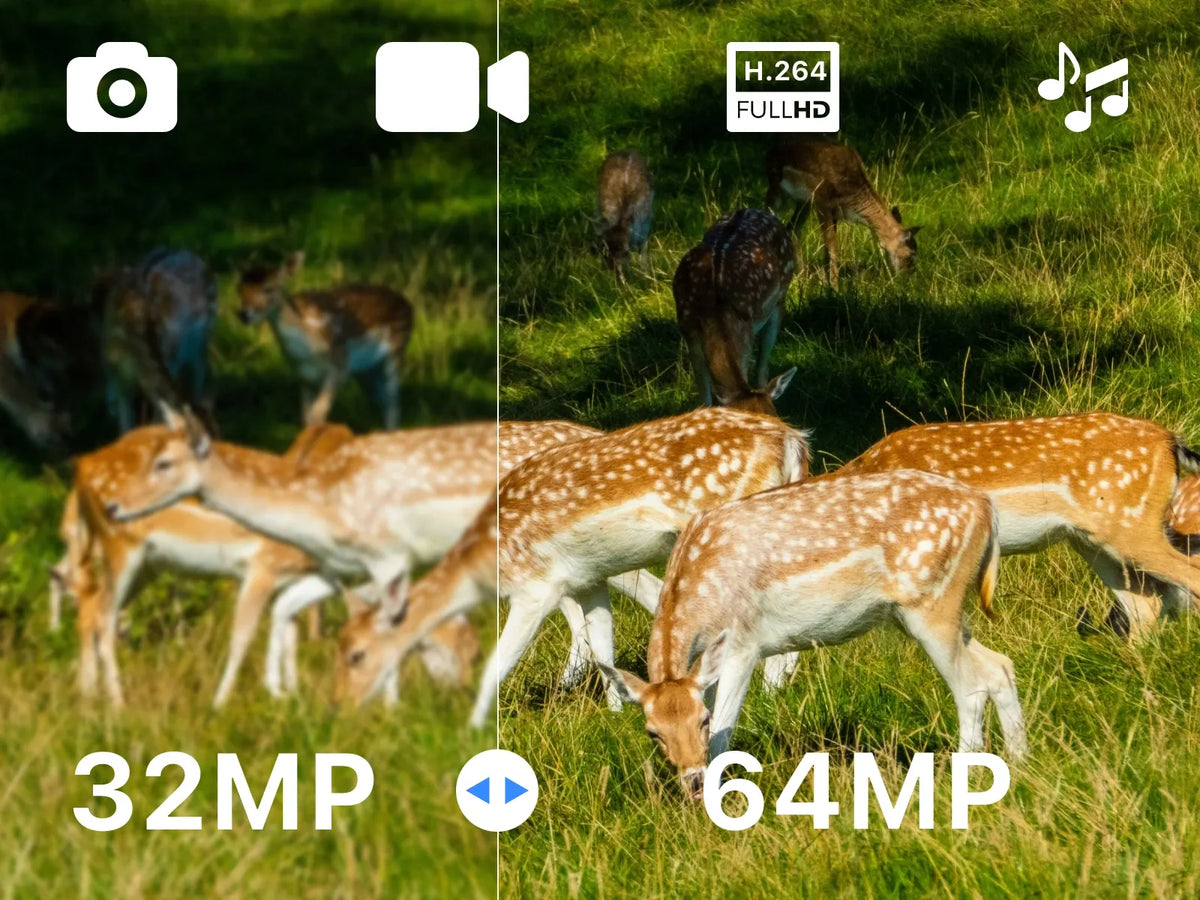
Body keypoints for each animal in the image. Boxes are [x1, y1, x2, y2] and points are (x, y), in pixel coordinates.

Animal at [55, 422, 479, 707]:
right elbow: (244, 635)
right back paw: (116, 702)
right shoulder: (262, 567)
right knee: (101, 613)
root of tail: (81, 468)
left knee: (92, 607)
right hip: (120, 547)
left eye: (472, 648)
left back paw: (88, 694)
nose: (461, 688)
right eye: (456, 643)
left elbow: (289, 630)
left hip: (146, 563)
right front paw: (222, 704)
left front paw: (289, 694)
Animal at [236, 251, 414, 428]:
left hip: (397, 349)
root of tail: (409, 305)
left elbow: (317, 416)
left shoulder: (339, 365)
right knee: (381, 402)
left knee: (393, 404)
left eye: (268, 288)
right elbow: (306, 419)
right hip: (368, 370)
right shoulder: (304, 376)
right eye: (239, 289)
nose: (244, 314)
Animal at [602, 470, 1027, 800]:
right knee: (999, 666)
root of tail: (986, 508)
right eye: (652, 732)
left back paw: (966, 776)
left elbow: (726, 733)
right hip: (936, 611)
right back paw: (1019, 761)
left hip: (932, 602)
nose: (692, 781)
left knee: (970, 685)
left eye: (703, 721)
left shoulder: (744, 641)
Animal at [674, 209, 798, 415]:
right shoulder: (688, 331)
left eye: (775, 416)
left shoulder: (745, 331)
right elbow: (704, 397)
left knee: (763, 366)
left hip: (781, 296)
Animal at [765, 137, 921, 288]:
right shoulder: (823, 203)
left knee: (792, 229)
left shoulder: (834, 213)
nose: (907, 281)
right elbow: (832, 251)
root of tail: (770, 153)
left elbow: (829, 249)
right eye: (911, 255)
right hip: (776, 191)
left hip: (804, 202)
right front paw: (834, 289)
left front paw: (828, 285)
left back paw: (801, 280)